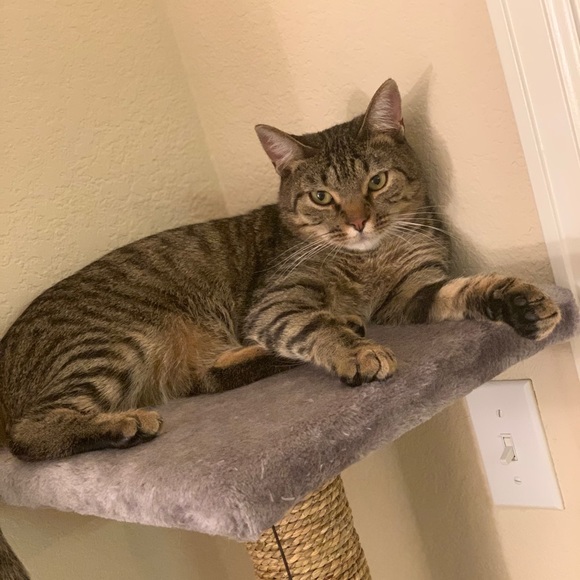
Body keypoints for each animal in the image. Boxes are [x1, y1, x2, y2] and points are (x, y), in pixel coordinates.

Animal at [0, 79, 561, 464]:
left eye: (377, 181)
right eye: (321, 197)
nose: (358, 221)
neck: (368, 259)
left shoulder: (411, 293)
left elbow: (468, 288)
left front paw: (519, 301)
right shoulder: (276, 301)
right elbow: (313, 325)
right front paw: (355, 352)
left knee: (207, 377)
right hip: (115, 343)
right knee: (31, 433)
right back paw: (125, 426)